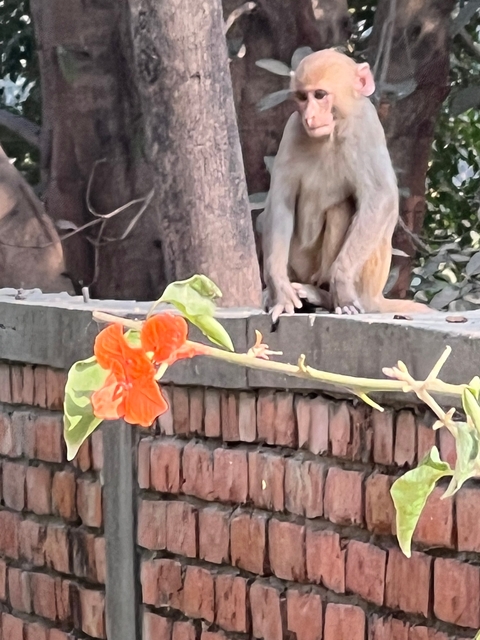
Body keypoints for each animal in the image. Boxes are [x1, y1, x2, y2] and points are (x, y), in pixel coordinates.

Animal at [257, 49, 429, 321]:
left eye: (320, 95)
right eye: (302, 97)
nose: (310, 117)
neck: (333, 131)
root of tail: (375, 298)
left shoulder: (366, 126)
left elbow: (379, 197)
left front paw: (342, 284)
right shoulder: (292, 129)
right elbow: (280, 203)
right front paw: (280, 291)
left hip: (362, 283)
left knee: (342, 208)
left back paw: (323, 295)